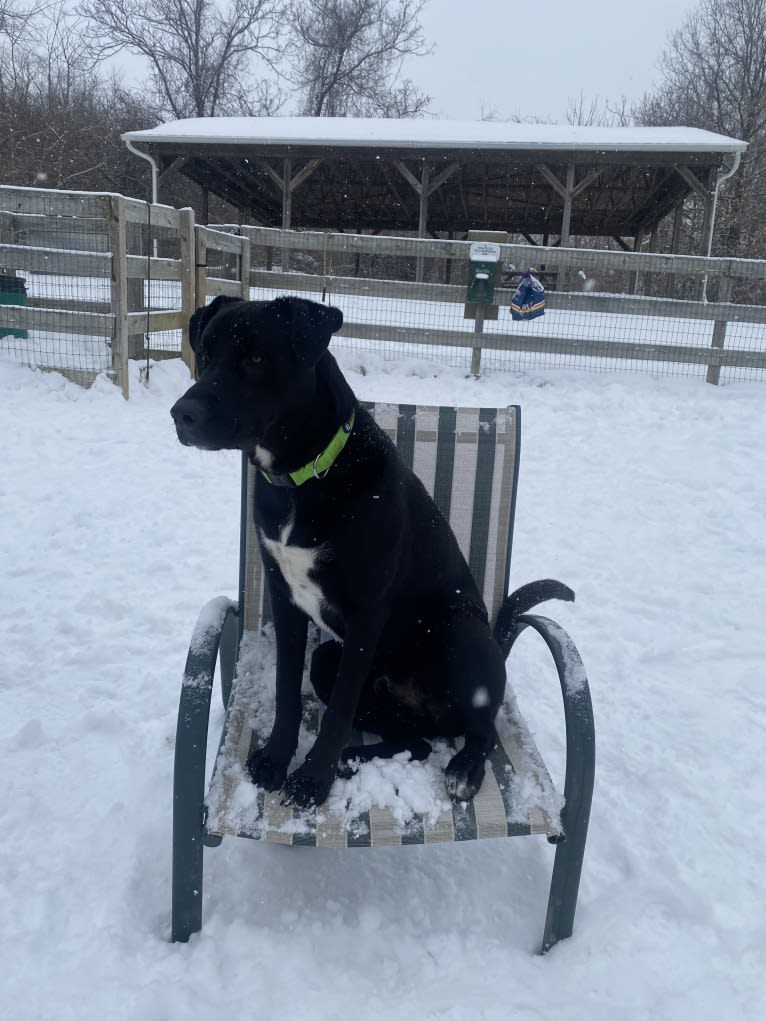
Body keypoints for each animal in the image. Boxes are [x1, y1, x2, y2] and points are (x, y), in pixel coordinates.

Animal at [172, 298, 571, 808]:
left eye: (256, 358)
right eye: (205, 352)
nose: (180, 414)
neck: (305, 478)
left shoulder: (366, 612)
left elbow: (338, 713)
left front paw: (311, 780)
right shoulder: (284, 597)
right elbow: (286, 690)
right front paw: (277, 759)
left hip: (461, 635)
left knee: (481, 725)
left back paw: (463, 769)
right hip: (330, 663)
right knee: (417, 741)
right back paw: (354, 759)